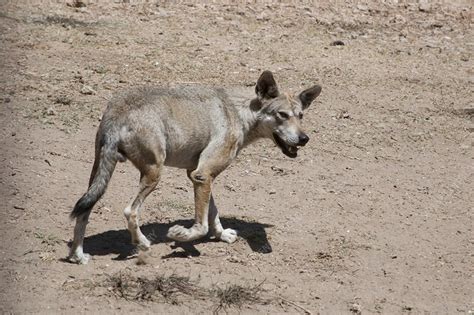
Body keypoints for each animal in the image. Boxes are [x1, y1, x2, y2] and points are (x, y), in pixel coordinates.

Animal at [67, 71, 322, 264]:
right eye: (282, 115)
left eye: (301, 115)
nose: (304, 139)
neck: (240, 112)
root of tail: (117, 112)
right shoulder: (203, 175)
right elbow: (201, 226)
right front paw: (179, 235)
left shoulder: (198, 175)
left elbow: (213, 214)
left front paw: (223, 235)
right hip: (154, 175)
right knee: (130, 211)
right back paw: (142, 243)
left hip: (99, 177)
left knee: (83, 213)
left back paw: (78, 255)